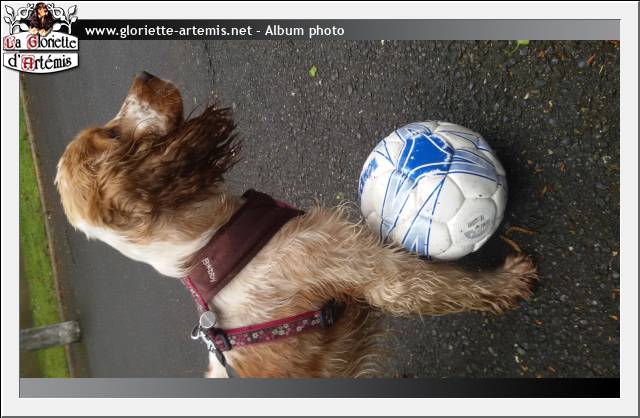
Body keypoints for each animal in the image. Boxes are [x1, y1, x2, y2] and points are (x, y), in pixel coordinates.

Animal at [55, 71, 537, 378]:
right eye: (113, 135)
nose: (144, 73)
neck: (206, 242)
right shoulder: (367, 267)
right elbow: (446, 287)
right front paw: (509, 281)